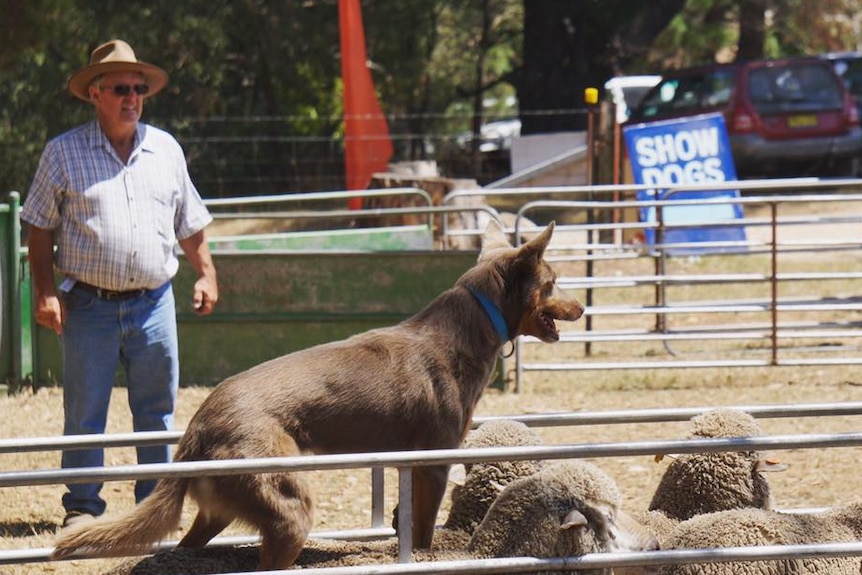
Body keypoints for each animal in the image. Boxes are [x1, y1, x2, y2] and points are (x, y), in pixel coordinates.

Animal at [50, 220, 584, 572]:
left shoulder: (410, 465)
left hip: (222, 510)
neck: (470, 325)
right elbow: (425, 530)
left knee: (189, 543)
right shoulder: (434, 462)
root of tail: (197, 428)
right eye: (555, 282)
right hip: (289, 506)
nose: (582, 306)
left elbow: (405, 519)